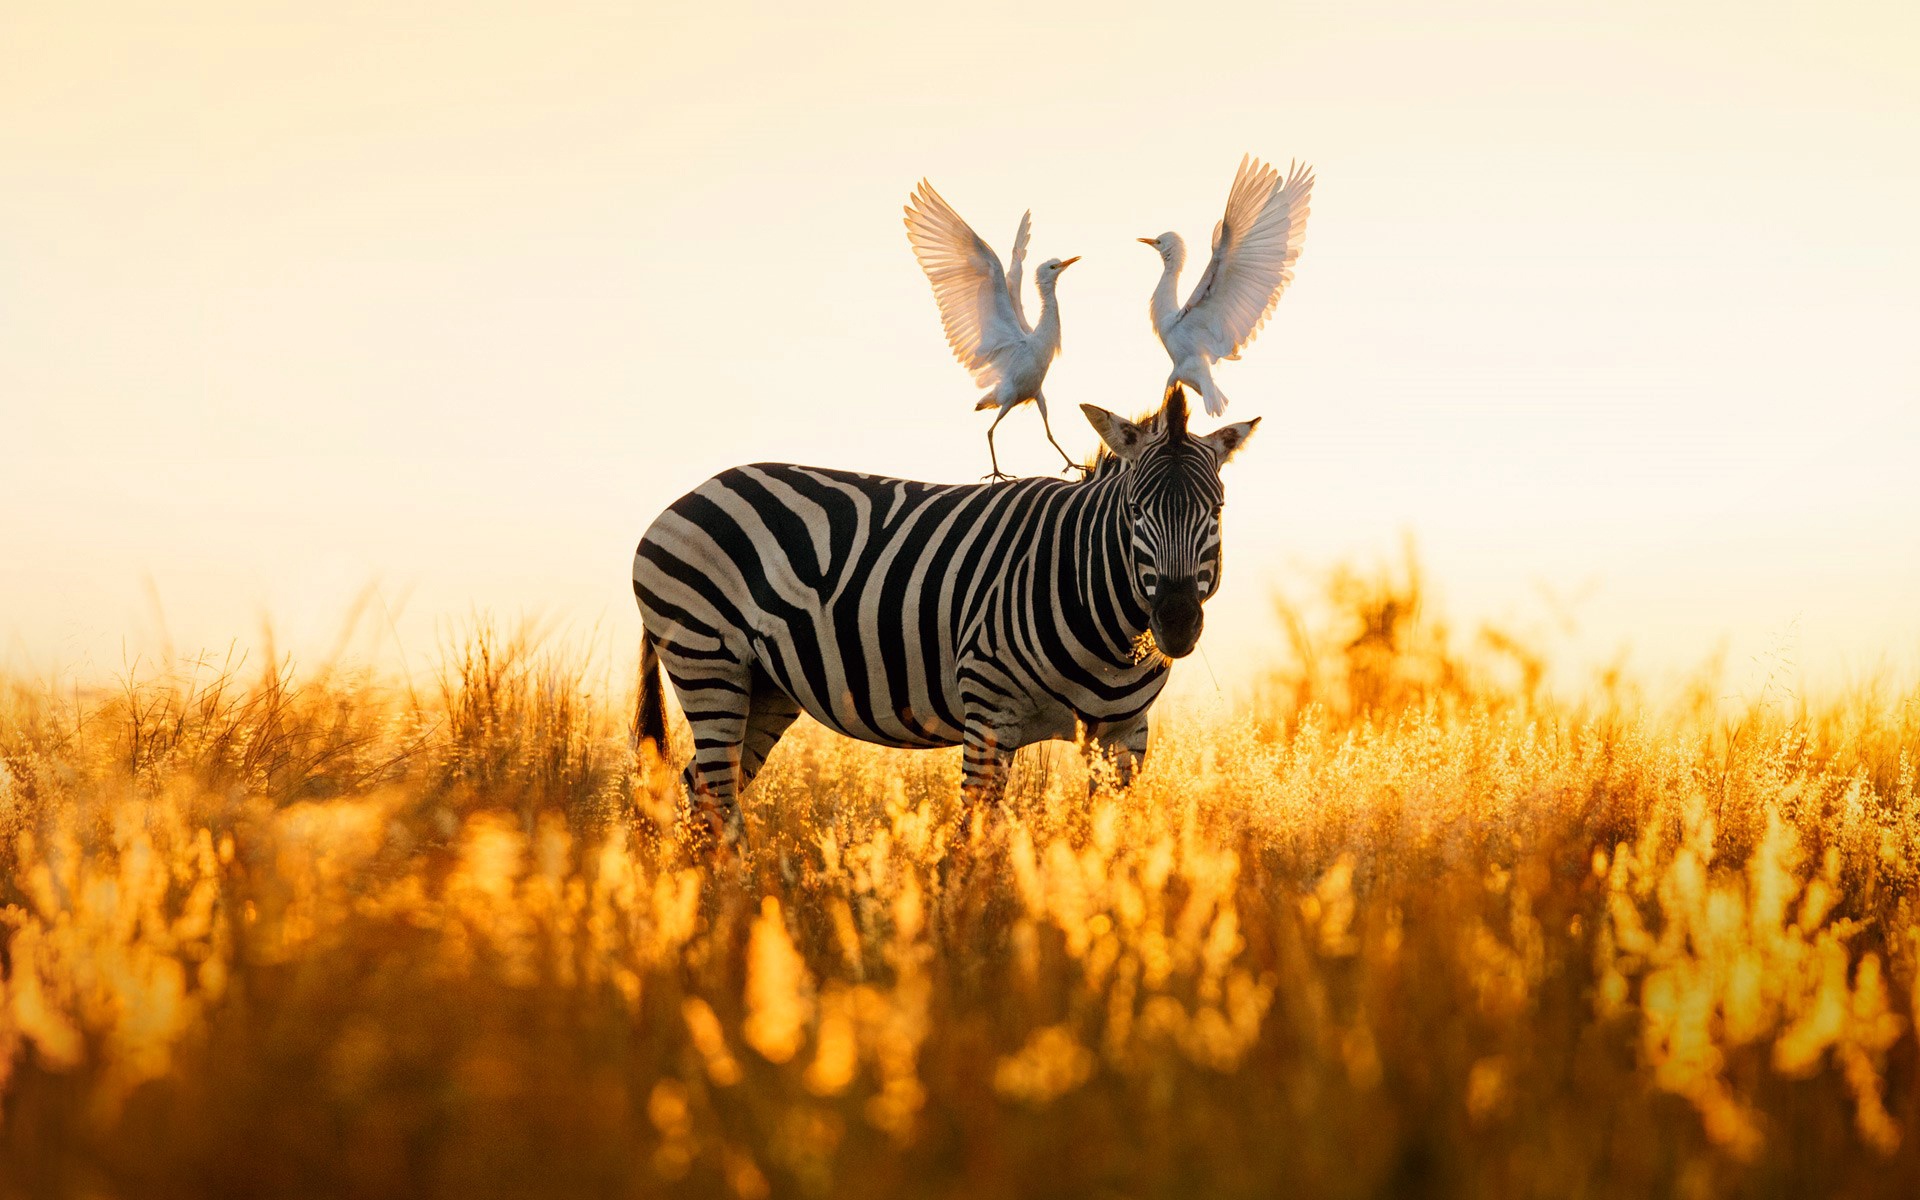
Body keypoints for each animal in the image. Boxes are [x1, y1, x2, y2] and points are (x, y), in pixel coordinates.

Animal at [633, 387, 1259, 837]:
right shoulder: (989, 711)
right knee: (716, 800)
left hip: (764, 687)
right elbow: (975, 838)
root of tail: (692, 494)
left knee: (698, 789)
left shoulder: (1124, 738)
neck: (1110, 633)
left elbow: (1109, 851)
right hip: (707, 661)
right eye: (1135, 511)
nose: (1176, 623)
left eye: (1217, 510)